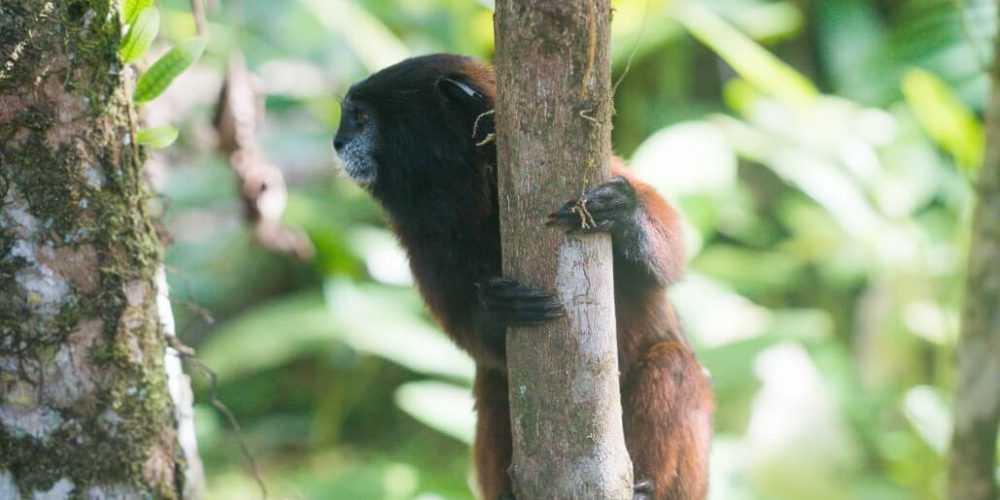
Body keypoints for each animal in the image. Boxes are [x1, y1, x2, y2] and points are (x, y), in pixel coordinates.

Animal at [334, 54, 712, 500]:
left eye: (360, 119)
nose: (336, 142)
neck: (473, 190)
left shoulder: (600, 168)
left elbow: (670, 259)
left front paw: (624, 212)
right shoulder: (421, 235)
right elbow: (466, 331)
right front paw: (496, 311)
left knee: (674, 365)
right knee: (495, 384)